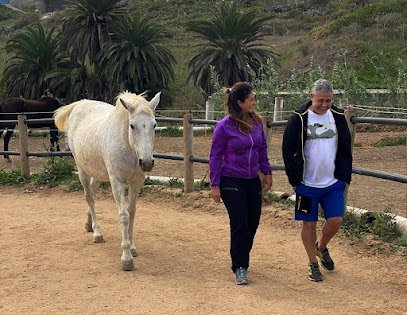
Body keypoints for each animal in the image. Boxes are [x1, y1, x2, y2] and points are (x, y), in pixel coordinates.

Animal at [53, 91, 161, 272]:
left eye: (154, 125)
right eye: (132, 125)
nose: (146, 162)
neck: (128, 146)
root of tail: (79, 104)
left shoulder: (136, 182)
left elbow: (132, 212)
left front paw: (132, 247)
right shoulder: (117, 182)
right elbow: (123, 215)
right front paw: (126, 258)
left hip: (96, 173)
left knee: (92, 193)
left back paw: (88, 224)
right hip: (82, 170)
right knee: (89, 196)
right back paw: (97, 233)